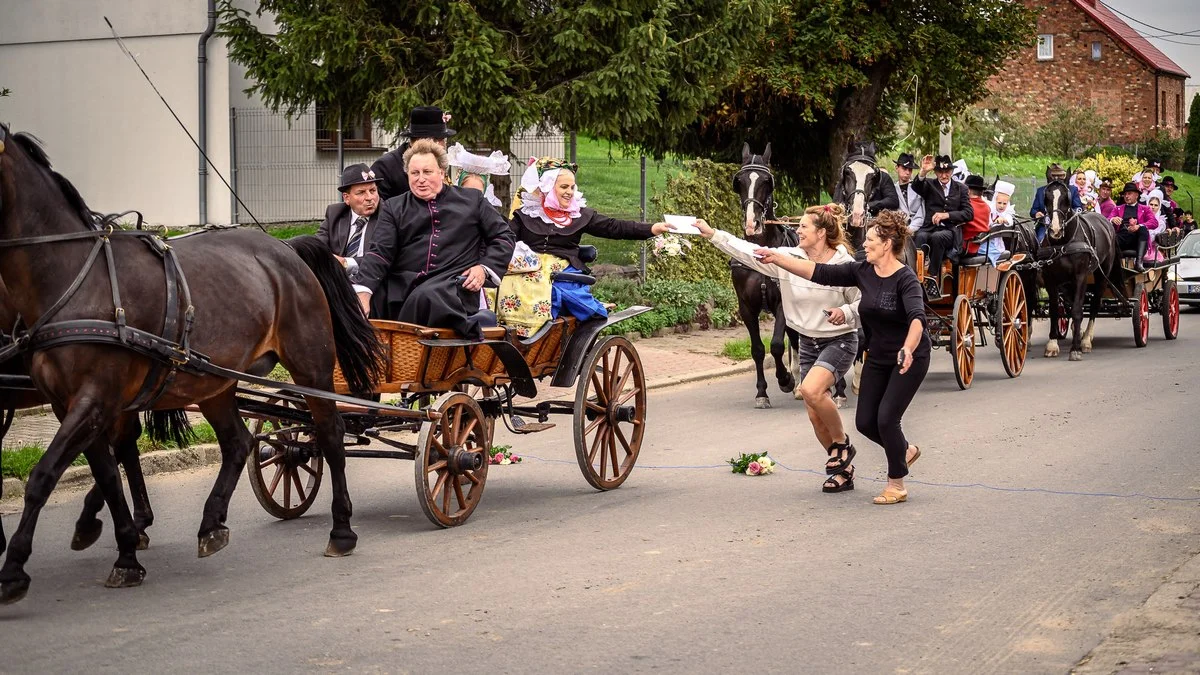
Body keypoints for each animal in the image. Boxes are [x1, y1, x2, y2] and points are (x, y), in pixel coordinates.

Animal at [0, 123, 379, 600]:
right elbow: (105, 473)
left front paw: (14, 568)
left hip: (311, 365)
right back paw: (210, 523)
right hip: (213, 382)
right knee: (239, 442)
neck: (76, 279)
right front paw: (126, 553)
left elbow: (44, 475)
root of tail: (287, 248)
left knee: (329, 435)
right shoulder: (71, 404)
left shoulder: (94, 399)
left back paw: (341, 529)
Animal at [729, 142, 796, 403]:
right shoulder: (746, 307)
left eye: (768, 182)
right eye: (739, 181)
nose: (752, 224)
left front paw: (785, 379)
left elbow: (776, 345)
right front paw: (761, 392)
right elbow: (757, 349)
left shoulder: (783, 305)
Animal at [1036, 177, 1118, 357]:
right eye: (1046, 198)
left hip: (1102, 275)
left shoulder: (1080, 276)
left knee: (1094, 305)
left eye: (1066, 198)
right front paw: (1052, 344)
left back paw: (1086, 339)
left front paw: (1075, 349)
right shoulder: (1050, 278)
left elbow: (1077, 310)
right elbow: (1055, 310)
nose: (1055, 230)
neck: (1062, 243)